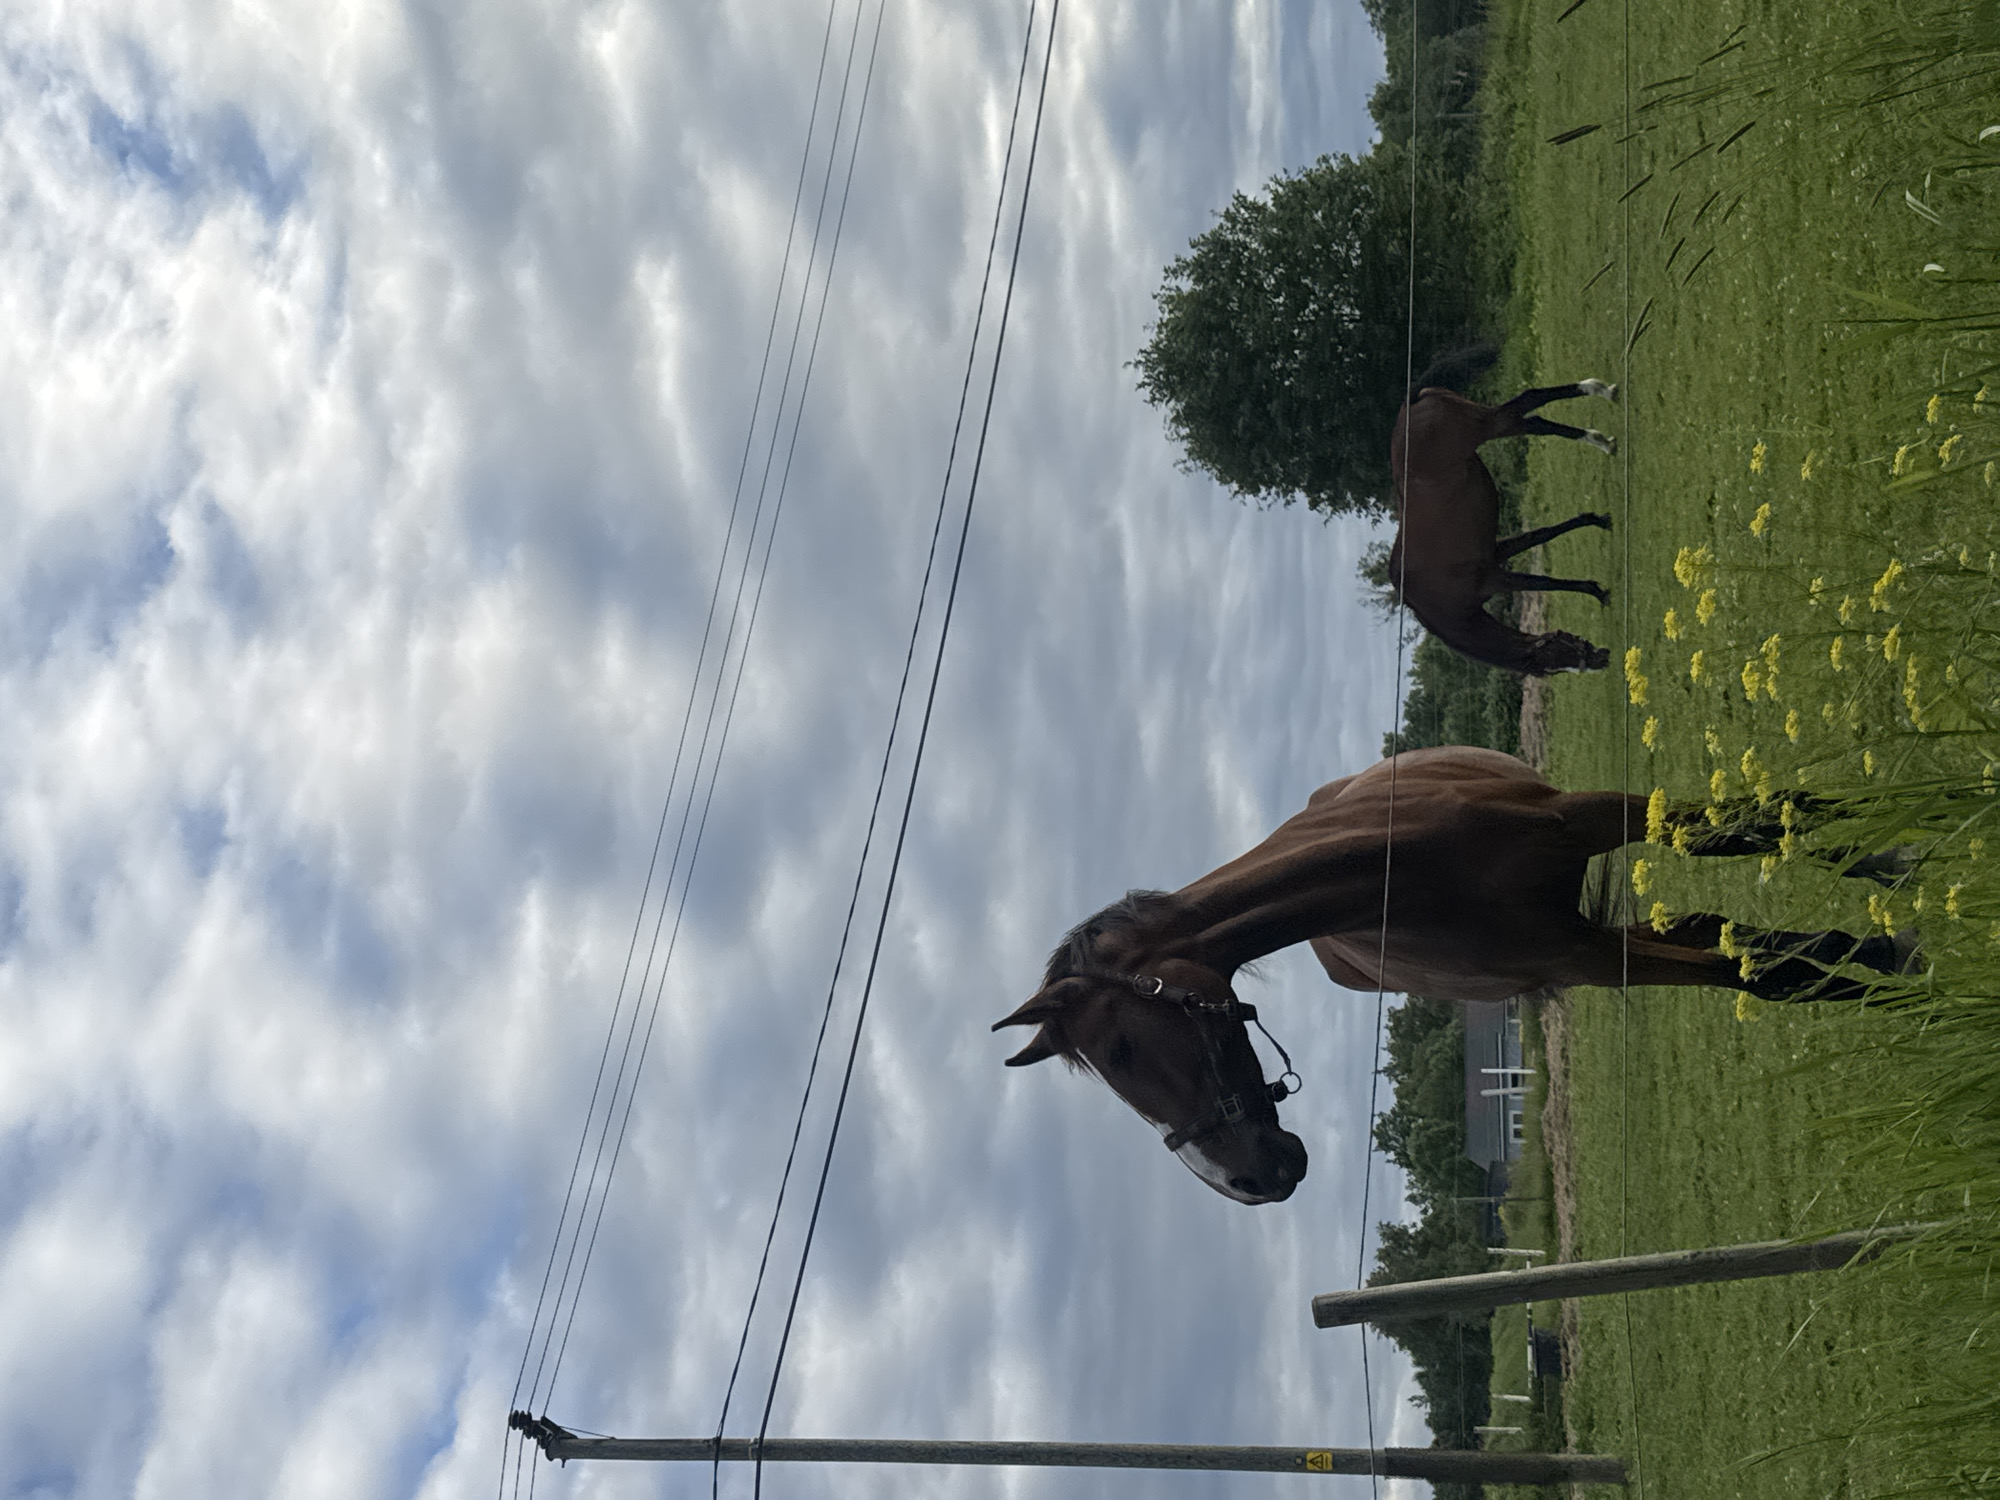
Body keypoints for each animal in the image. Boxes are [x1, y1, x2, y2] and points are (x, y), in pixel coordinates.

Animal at [993, 747, 1916, 1205]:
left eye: (1120, 1050)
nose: (1247, 1183)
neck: (1413, 866)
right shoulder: (1579, 959)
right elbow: (1763, 975)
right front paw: (1893, 971)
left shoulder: (1595, 815)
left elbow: (1750, 825)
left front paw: (1893, 861)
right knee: (1711, 935)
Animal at [1388, 367, 1622, 677]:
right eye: (1554, 664)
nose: (1601, 658)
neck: (1437, 597)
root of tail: (1410, 405)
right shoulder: (1498, 553)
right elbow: (1543, 535)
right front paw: (1595, 521)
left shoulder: (1496, 579)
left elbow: (1544, 582)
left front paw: (1595, 591)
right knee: (1533, 415)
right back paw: (1598, 405)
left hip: (1490, 425)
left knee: (1527, 406)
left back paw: (1601, 423)